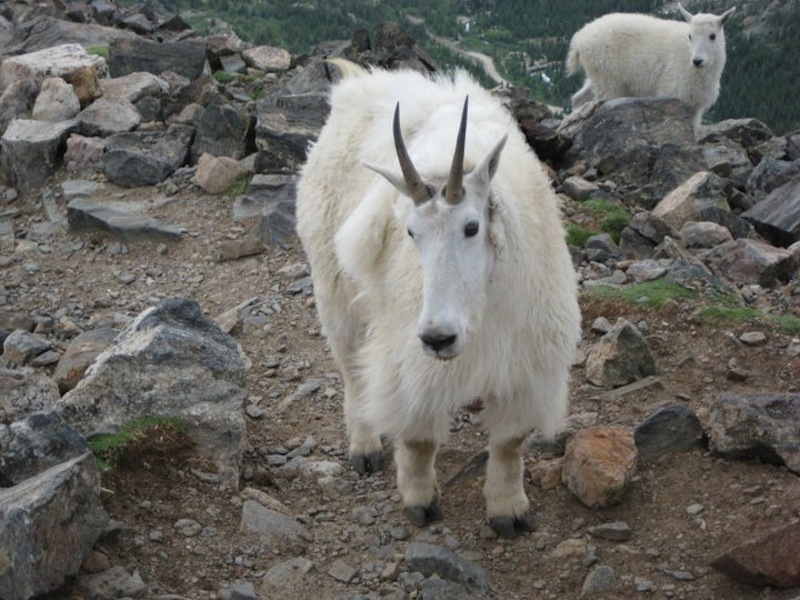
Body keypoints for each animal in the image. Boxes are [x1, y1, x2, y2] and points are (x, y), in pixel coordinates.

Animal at [296, 59, 580, 540]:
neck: (481, 307)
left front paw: (509, 511)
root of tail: (356, 85)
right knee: (352, 369)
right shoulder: (410, 356)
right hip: (333, 287)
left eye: (472, 227)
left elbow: (510, 440)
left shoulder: (528, 359)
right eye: (410, 231)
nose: (438, 338)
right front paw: (420, 501)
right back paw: (365, 445)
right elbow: (418, 434)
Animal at [564, 4, 736, 129]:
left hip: (597, 74)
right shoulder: (671, 92)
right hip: (608, 77)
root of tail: (580, 39)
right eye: (690, 36)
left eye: (712, 36)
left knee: (579, 98)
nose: (697, 61)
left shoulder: (695, 106)